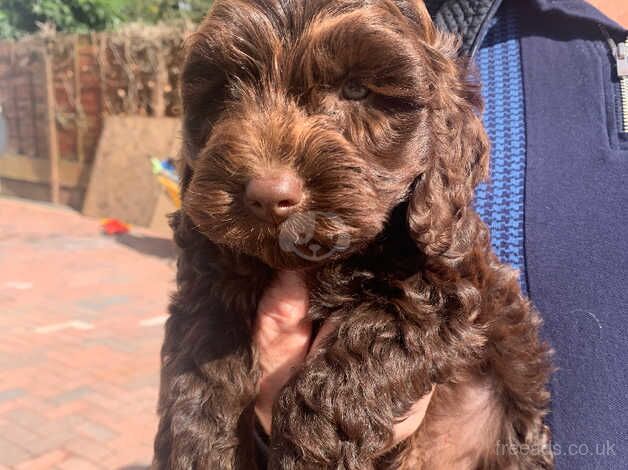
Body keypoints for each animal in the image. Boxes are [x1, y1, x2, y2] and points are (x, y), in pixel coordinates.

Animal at [155, 1, 552, 468]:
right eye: (227, 91)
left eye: (357, 90)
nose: (268, 196)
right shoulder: (208, 278)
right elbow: (201, 364)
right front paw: (198, 449)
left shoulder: (446, 291)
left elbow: (350, 362)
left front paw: (308, 450)